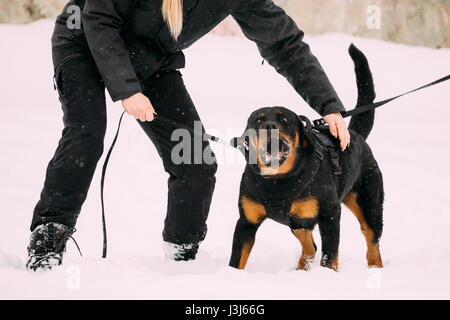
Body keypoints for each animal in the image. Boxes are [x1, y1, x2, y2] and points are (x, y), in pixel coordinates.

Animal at [229, 44, 384, 270]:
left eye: (284, 119)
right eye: (257, 120)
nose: (268, 125)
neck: (277, 181)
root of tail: (354, 135)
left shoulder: (330, 214)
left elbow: (330, 256)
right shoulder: (246, 222)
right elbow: (237, 258)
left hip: (369, 202)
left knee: (372, 240)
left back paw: (375, 268)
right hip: (298, 221)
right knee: (310, 246)